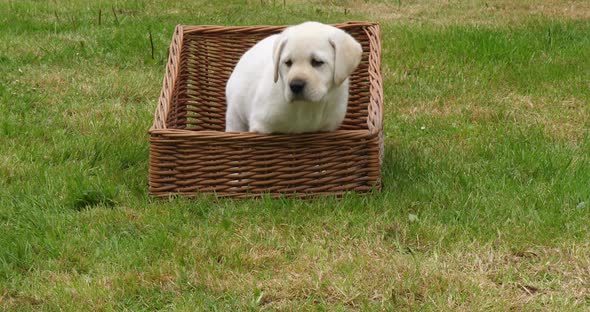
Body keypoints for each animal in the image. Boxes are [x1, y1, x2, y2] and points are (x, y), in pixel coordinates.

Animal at [227, 21, 366, 134]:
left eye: (317, 62)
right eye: (288, 62)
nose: (295, 85)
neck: (307, 107)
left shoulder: (328, 127)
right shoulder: (260, 126)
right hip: (234, 115)